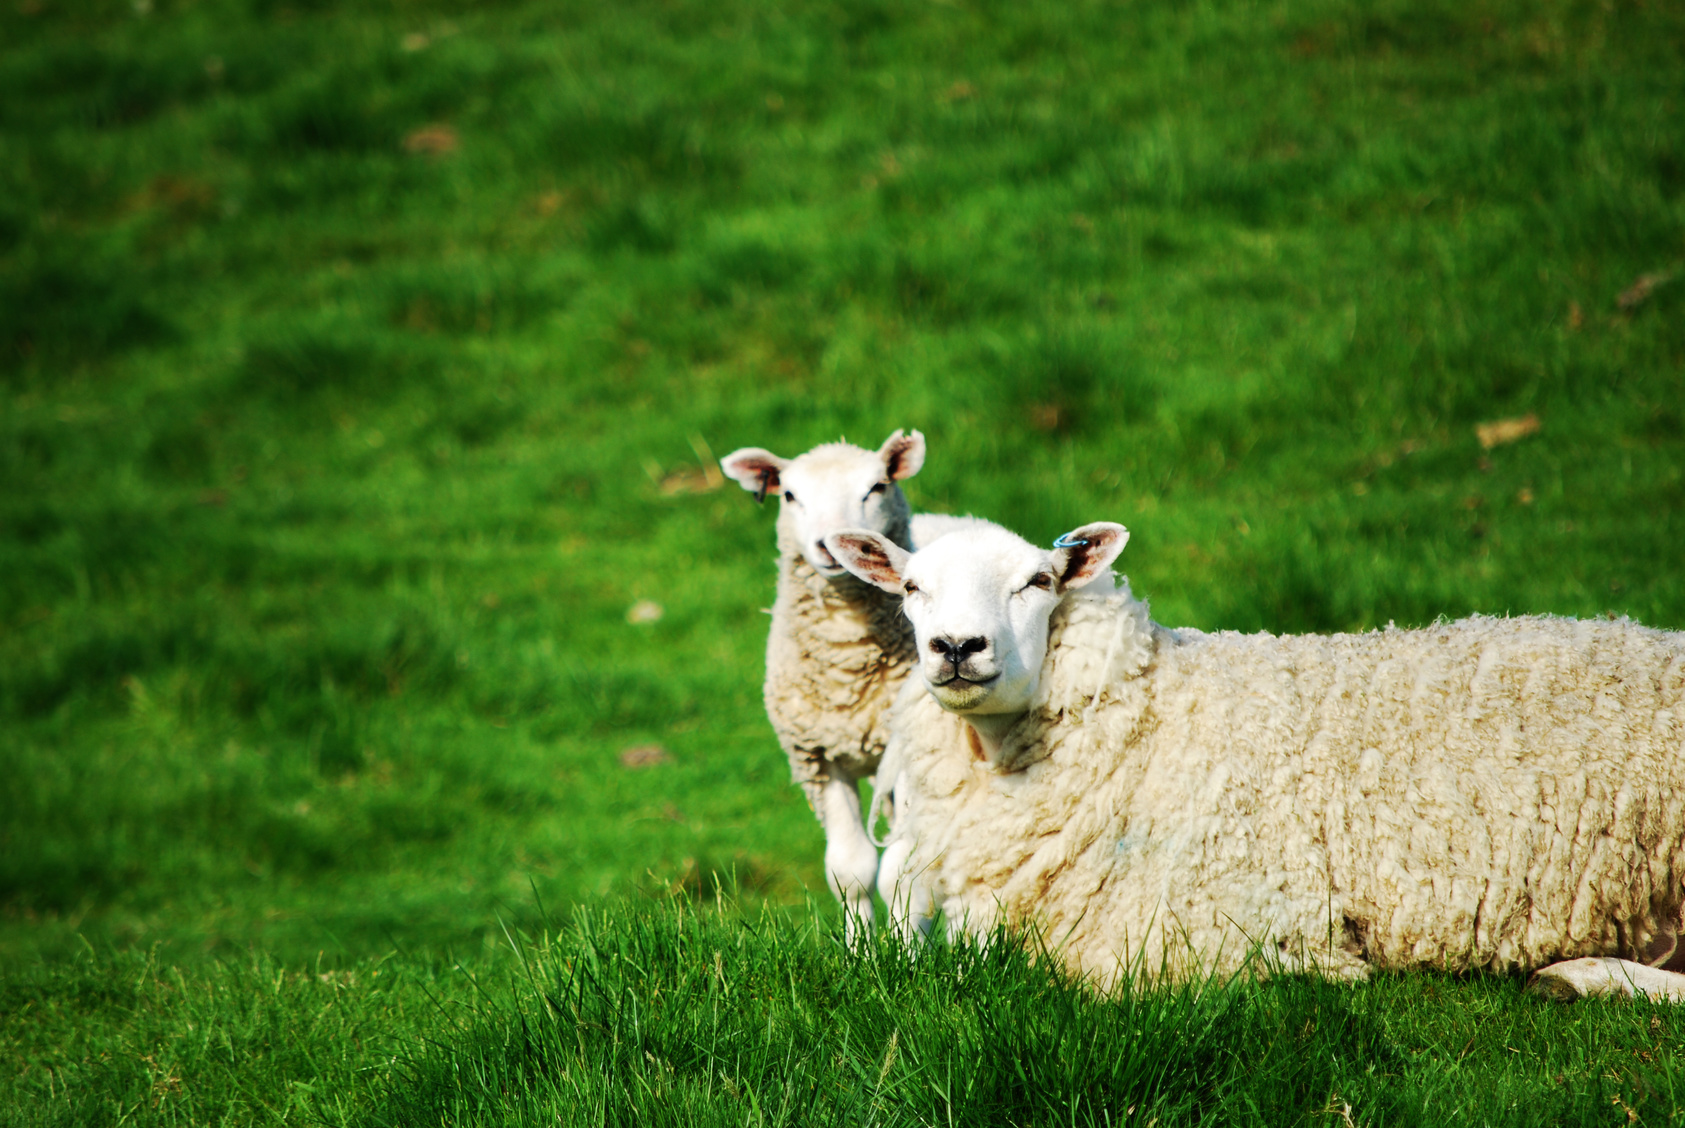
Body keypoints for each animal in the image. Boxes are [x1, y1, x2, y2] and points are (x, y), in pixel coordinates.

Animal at [720, 430, 966, 940]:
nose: (828, 547)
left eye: (876, 487)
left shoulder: (910, 756)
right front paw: (862, 949)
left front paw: (905, 950)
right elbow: (850, 871)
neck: (845, 660)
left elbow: (901, 873)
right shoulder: (818, 758)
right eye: (789, 495)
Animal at [827, 520, 1685, 1000]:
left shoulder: (1198, 929)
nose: (956, 647)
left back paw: (1581, 977)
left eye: (1038, 581)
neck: (1150, 715)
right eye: (910, 587)